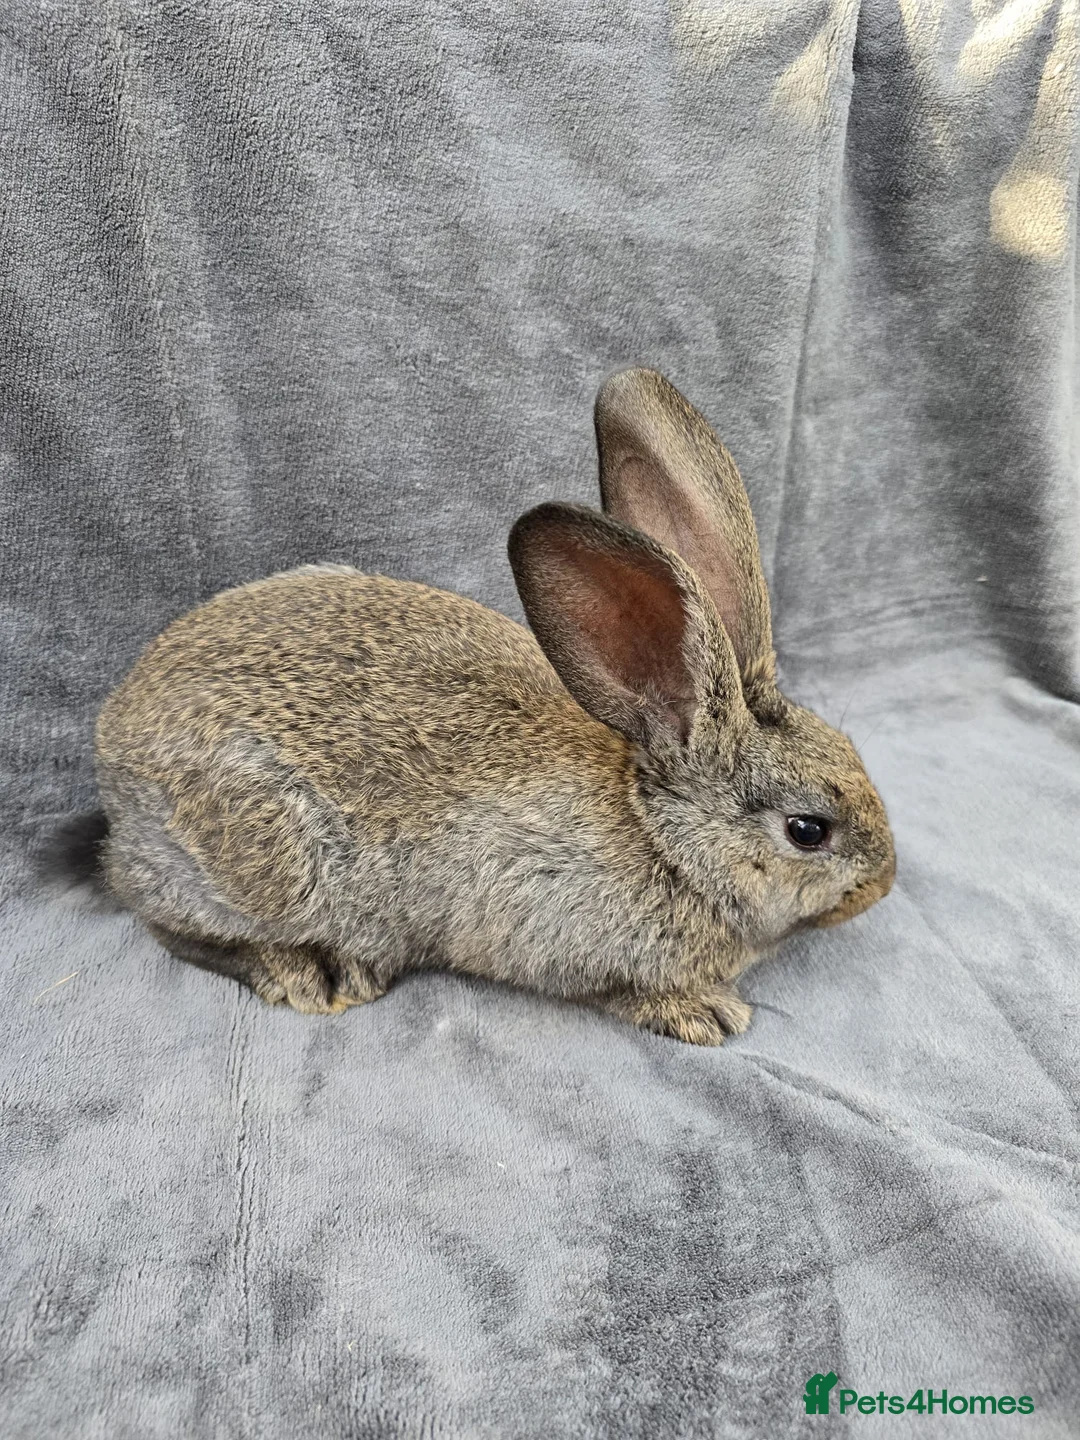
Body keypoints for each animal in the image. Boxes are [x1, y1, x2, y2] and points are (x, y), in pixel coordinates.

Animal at [93, 368, 895, 1045]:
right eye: (807, 831)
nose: (882, 884)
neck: (666, 838)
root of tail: (112, 739)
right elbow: (622, 990)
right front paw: (702, 1012)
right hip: (263, 861)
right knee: (158, 914)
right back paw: (308, 972)